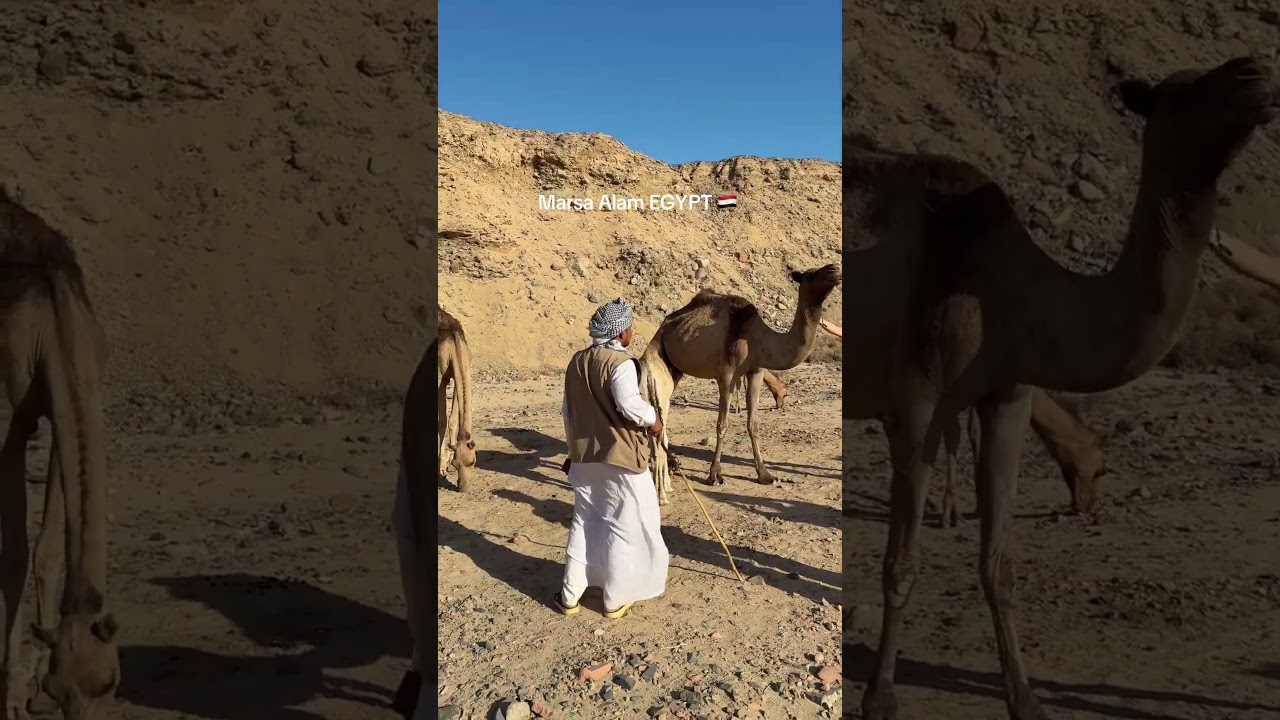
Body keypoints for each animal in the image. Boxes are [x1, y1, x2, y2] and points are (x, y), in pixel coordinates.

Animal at [640, 264, 840, 505]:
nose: (834, 269)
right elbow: (722, 424)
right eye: (811, 274)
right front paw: (714, 475)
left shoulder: (756, 371)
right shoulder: (726, 373)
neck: (758, 338)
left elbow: (753, 423)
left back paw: (669, 468)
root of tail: (666, 322)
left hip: (675, 369)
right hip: (658, 349)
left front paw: (765, 474)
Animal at [845, 57, 1280, 720]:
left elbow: (999, 566)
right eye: (1182, 91)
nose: (1255, 74)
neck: (1007, 288)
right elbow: (901, 564)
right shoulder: (916, 402)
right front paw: (880, 697)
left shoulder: (1007, 396)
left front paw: (1026, 700)